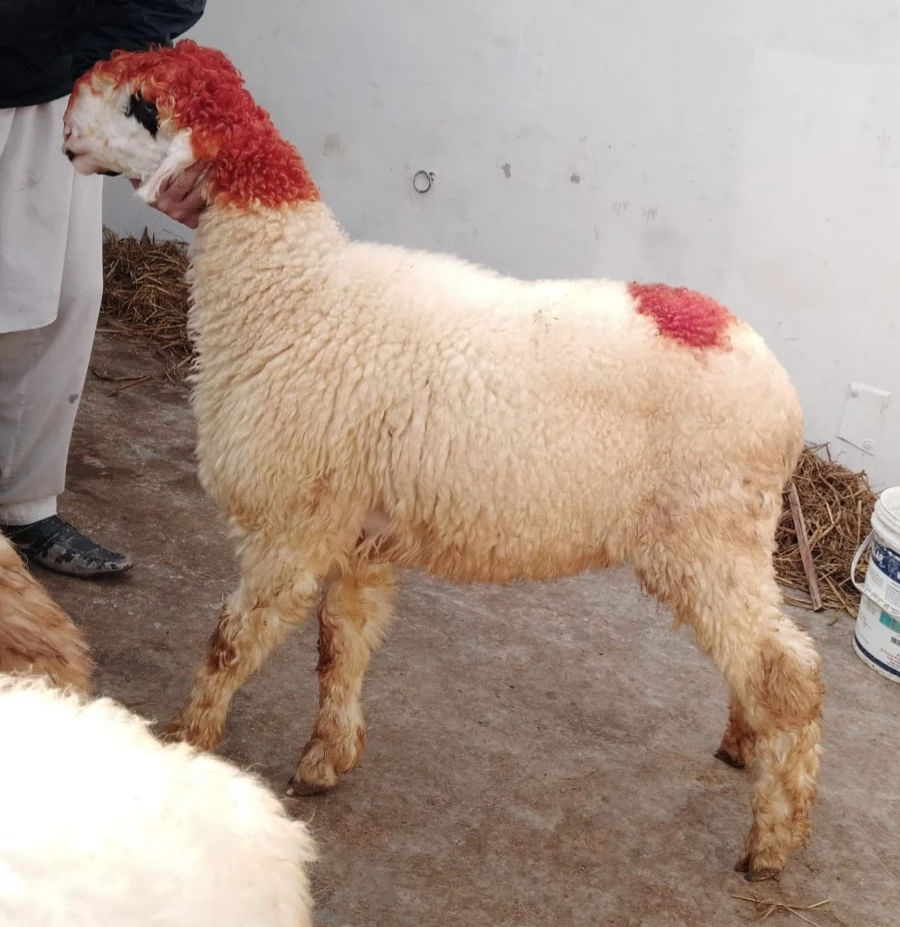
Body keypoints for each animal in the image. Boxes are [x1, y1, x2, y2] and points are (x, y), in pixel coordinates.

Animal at [62, 39, 824, 881]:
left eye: (140, 106)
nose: (63, 123)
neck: (294, 293)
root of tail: (771, 376)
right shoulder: (356, 533)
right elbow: (340, 647)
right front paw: (327, 757)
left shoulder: (294, 524)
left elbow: (232, 640)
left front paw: (187, 740)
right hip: (720, 540)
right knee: (760, 658)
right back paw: (743, 743)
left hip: (710, 530)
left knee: (788, 673)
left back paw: (772, 839)